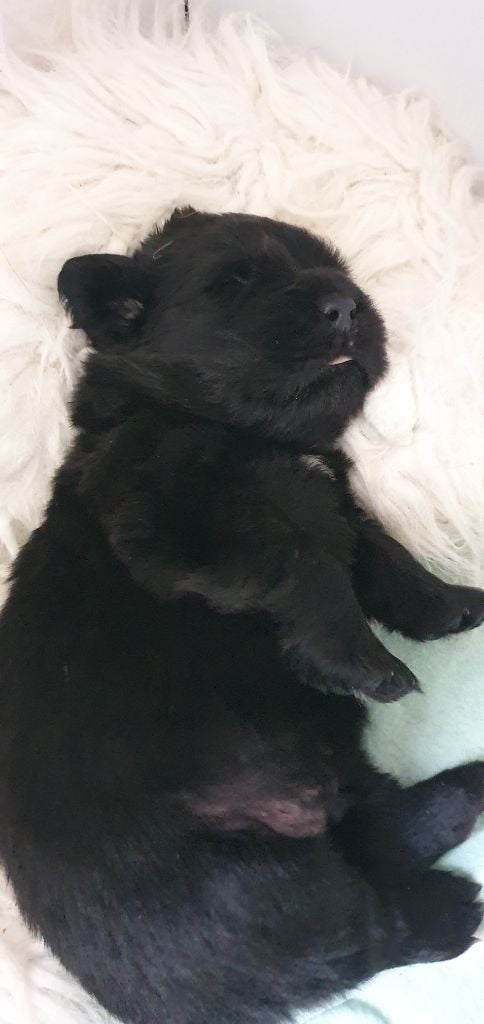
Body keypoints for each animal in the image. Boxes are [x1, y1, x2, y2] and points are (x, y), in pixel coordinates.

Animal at [1, 208, 484, 1024]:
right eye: (232, 285)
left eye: (335, 267)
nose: (346, 305)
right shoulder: (174, 522)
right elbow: (308, 565)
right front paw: (370, 664)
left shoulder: (335, 497)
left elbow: (378, 553)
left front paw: (451, 606)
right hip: (248, 884)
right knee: (364, 930)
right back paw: (451, 907)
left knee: (377, 841)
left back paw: (464, 792)